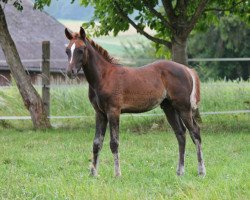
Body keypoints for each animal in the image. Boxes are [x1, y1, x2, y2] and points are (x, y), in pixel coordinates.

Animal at [65, 27, 206, 177]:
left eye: (81, 49)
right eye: (67, 50)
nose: (70, 72)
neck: (103, 77)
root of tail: (187, 69)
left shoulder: (113, 111)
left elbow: (114, 142)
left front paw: (117, 174)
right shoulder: (100, 113)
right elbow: (97, 143)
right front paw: (93, 174)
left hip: (183, 107)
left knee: (195, 132)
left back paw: (201, 171)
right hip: (169, 108)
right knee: (180, 133)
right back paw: (180, 172)